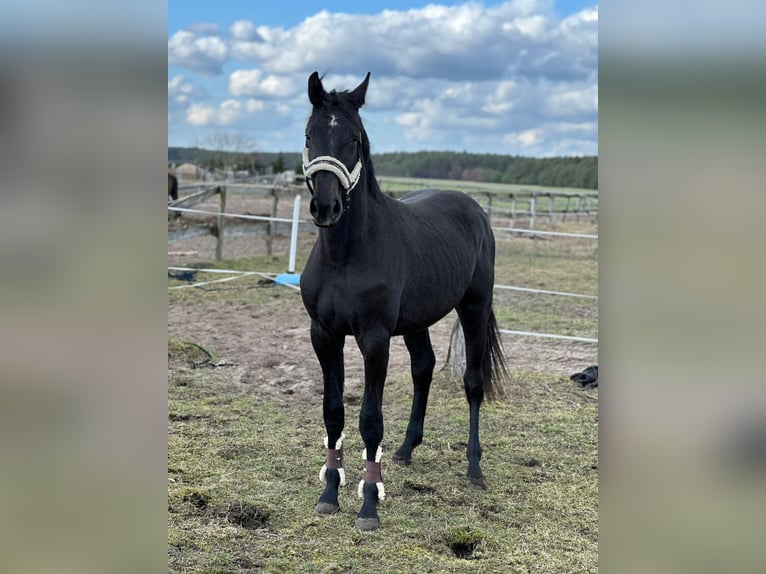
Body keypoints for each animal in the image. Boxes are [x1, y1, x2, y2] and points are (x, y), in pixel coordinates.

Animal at [299, 72, 508, 531]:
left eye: (354, 138)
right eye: (309, 135)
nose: (326, 207)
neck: (346, 255)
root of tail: (474, 210)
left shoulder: (375, 340)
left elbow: (370, 420)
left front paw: (368, 505)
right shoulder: (324, 335)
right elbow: (333, 412)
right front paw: (329, 495)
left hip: (474, 308)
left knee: (473, 383)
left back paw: (474, 469)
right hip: (417, 321)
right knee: (423, 369)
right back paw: (407, 449)